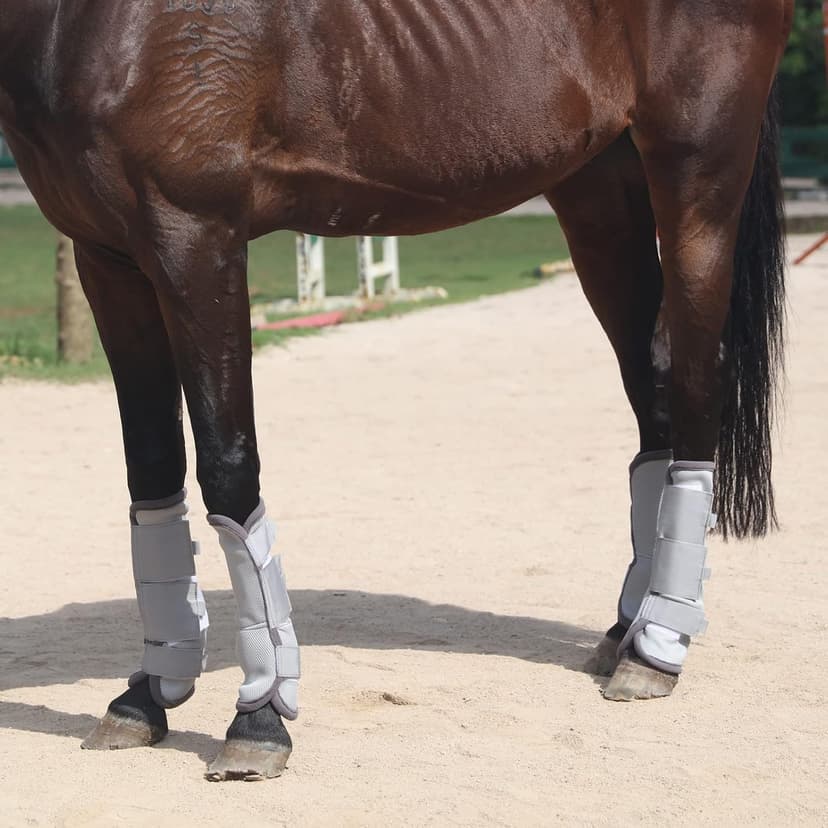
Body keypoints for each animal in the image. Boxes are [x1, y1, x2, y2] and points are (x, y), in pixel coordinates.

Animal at [0, 0, 791, 781]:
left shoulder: (196, 240)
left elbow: (227, 463)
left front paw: (259, 717)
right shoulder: (108, 259)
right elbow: (152, 467)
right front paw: (150, 693)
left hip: (697, 178)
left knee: (696, 388)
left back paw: (658, 646)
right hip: (600, 190)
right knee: (654, 392)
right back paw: (627, 630)